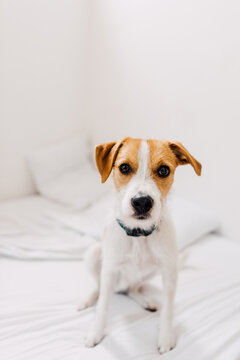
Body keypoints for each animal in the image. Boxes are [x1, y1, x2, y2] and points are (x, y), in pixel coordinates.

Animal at [78, 138, 201, 354]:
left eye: (163, 170)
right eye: (124, 167)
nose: (142, 202)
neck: (139, 233)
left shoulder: (169, 272)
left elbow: (168, 309)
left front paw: (166, 337)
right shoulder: (109, 268)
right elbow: (103, 305)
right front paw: (96, 332)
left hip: (151, 272)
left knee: (133, 288)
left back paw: (145, 300)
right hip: (94, 254)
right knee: (100, 287)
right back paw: (89, 298)